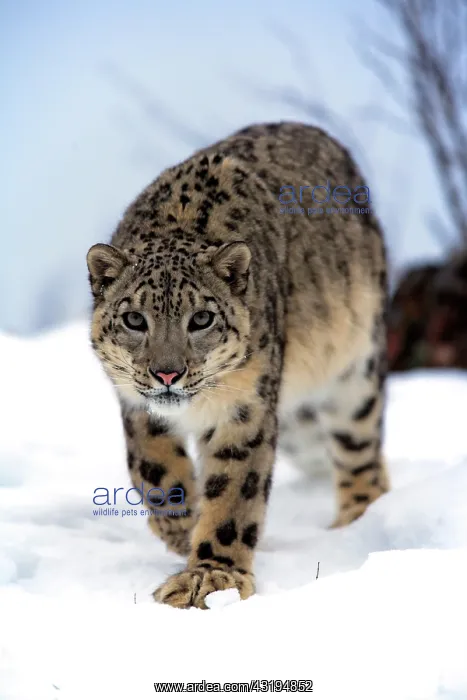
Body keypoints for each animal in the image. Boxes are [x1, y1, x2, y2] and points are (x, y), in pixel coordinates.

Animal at [86, 121, 389, 609]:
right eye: (134, 319)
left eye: (201, 318)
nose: (167, 373)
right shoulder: (134, 403)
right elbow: (152, 471)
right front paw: (181, 528)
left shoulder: (245, 408)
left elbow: (233, 492)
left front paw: (210, 578)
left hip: (352, 375)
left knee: (361, 454)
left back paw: (357, 525)